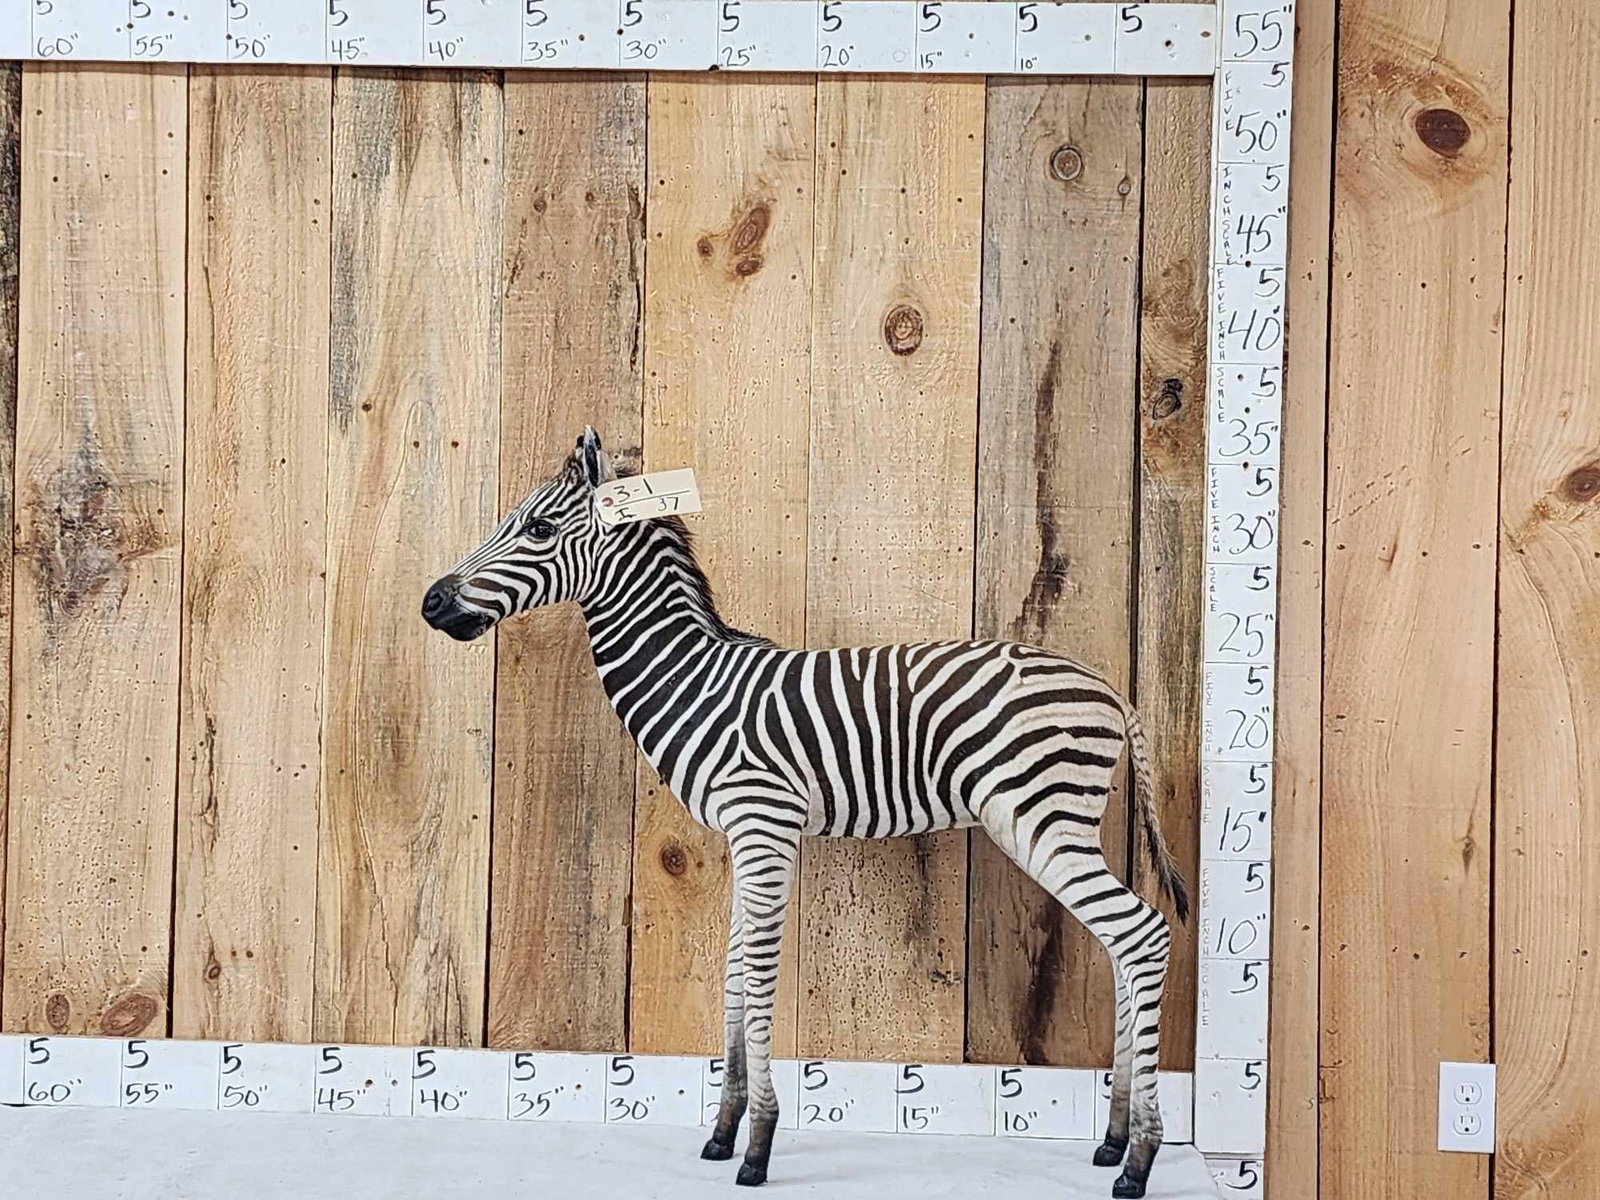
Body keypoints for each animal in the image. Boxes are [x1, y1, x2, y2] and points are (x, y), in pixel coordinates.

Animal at [423, 429, 1189, 1200]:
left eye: (538, 529)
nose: (431, 602)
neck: (694, 684)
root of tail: (1111, 691)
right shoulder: (742, 839)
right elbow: (734, 975)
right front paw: (722, 1133)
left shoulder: (764, 826)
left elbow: (759, 978)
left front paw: (759, 1147)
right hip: (1062, 826)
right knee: (1123, 948)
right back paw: (1112, 1140)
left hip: (1039, 819)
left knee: (1144, 936)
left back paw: (1140, 1162)